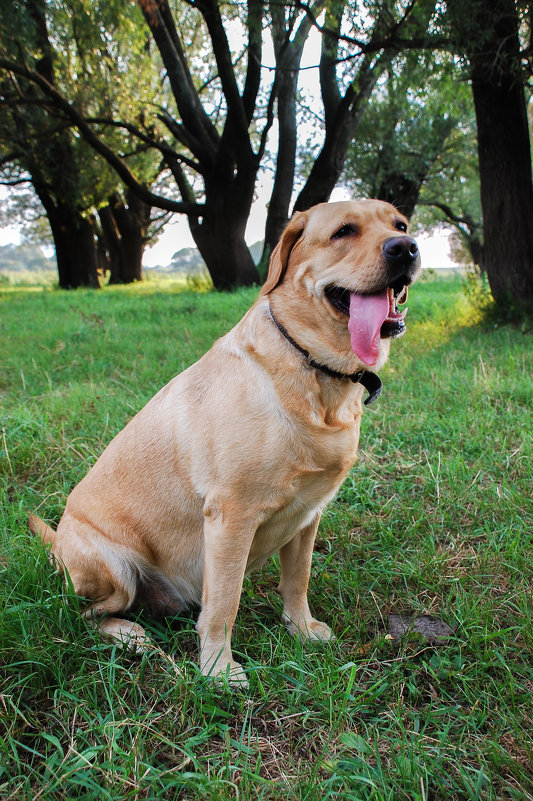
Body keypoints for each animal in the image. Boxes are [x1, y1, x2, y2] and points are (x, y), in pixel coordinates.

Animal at [30, 198, 420, 680]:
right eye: (344, 231)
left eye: (400, 224)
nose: (406, 247)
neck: (311, 367)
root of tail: (56, 546)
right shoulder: (232, 516)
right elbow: (223, 603)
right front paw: (217, 669)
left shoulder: (308, 514)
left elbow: (298, 579)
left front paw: (300, 629)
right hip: (114, 569)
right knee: (82, 615)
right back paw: (130, 636)